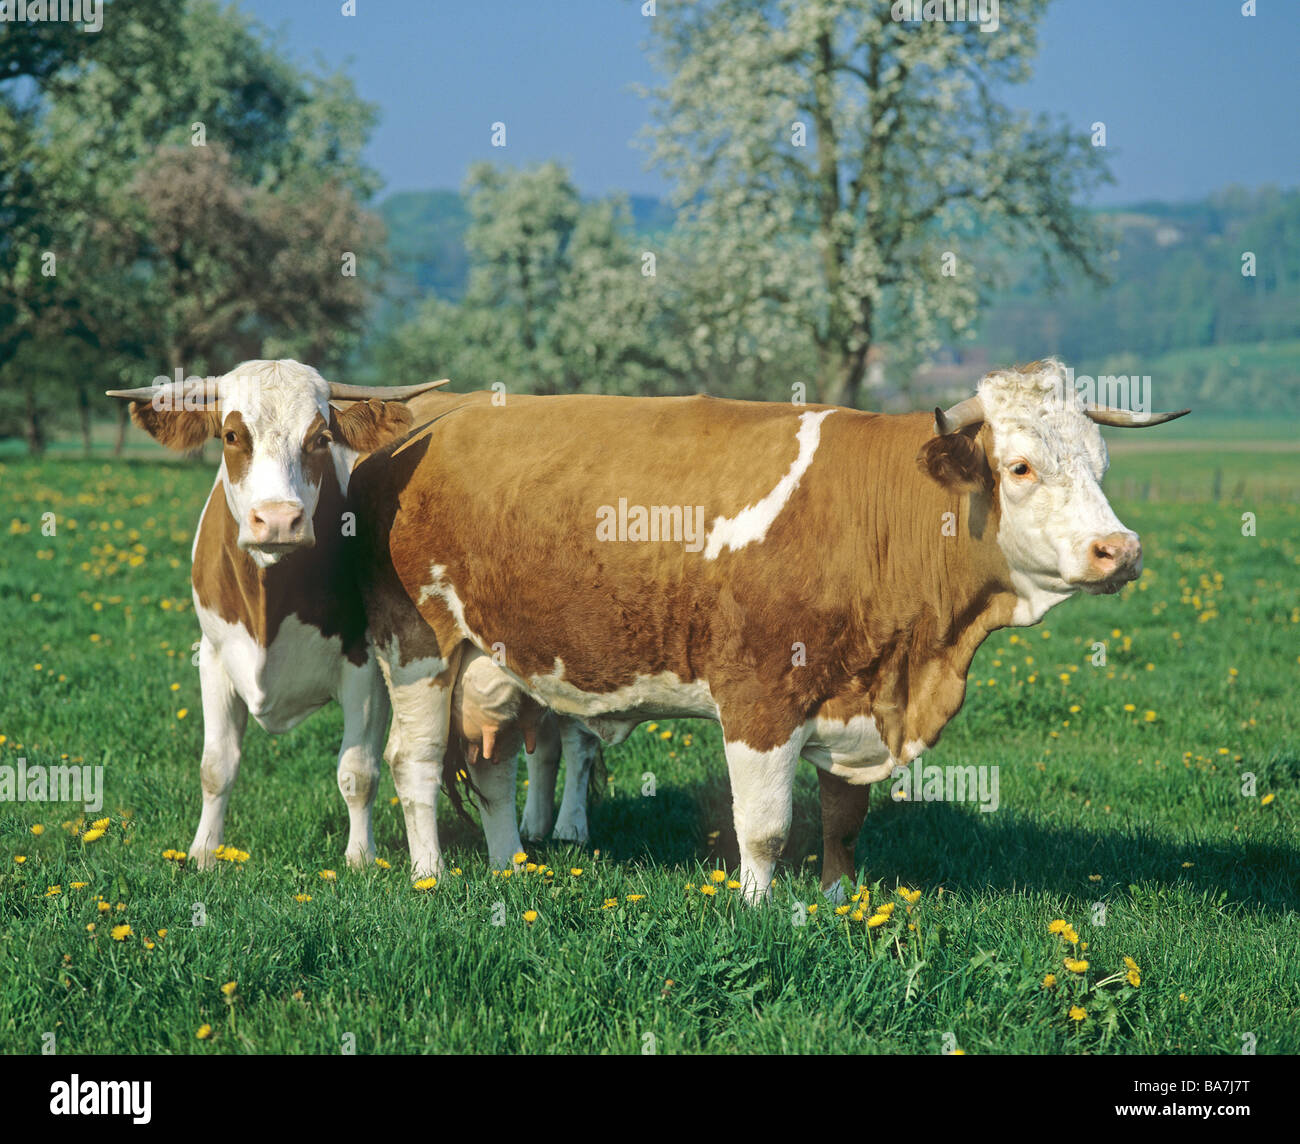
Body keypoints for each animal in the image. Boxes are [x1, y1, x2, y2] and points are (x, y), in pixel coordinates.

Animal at [104, 361, 447, 873]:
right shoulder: (213, 657)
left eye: (321, 438)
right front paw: (204, 851)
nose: (280, 520)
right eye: (231, 435)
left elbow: (358, 771)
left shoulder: (366, 665)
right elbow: (216, 766)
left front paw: (360, 857)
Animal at [353, 358, 1190, 894]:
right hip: (420, 647)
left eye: (1100, 466)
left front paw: (838, 902)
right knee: (413, 762)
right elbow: (763, 827)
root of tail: (432, 417)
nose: (1120, 550)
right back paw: (429, 875)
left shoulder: (856, 693)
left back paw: (507, 868)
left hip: (489, 664)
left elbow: (843, 820)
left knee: (491, 764)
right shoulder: (761, 698)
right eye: (1018, 468)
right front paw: (758, 911)